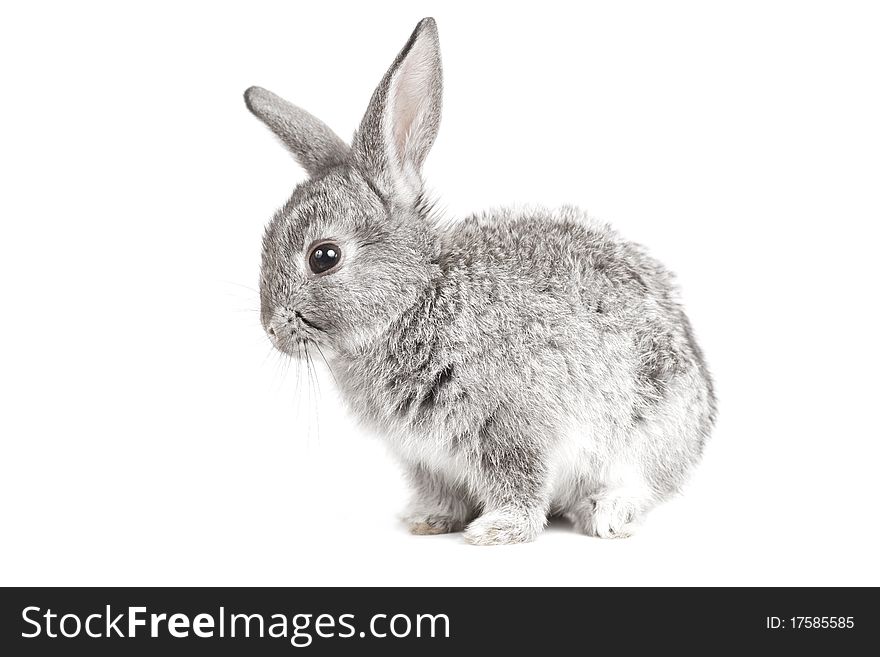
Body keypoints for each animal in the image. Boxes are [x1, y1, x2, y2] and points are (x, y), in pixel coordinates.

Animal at [242, 18, 716, 544]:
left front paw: (496, 530)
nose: (272, 329)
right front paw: (429, 520)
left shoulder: (513, 426)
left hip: (648, 430)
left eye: (323, 257)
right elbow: (441, 491)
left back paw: (607, 512)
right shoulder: (424, 458)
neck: (417, 298)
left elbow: (521, 482)